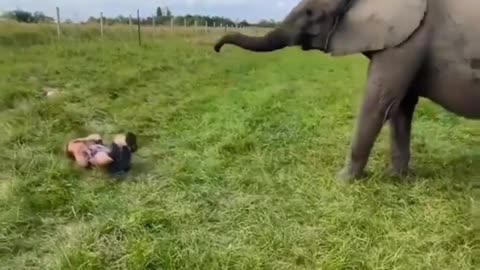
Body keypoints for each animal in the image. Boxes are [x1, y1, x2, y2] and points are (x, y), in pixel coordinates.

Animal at [214, 0, 480, 182]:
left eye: (312, 13)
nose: (217, 49)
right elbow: (401, 107)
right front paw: (397, 179)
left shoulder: (410, 39)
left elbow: (378, 102)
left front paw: (342, 181)